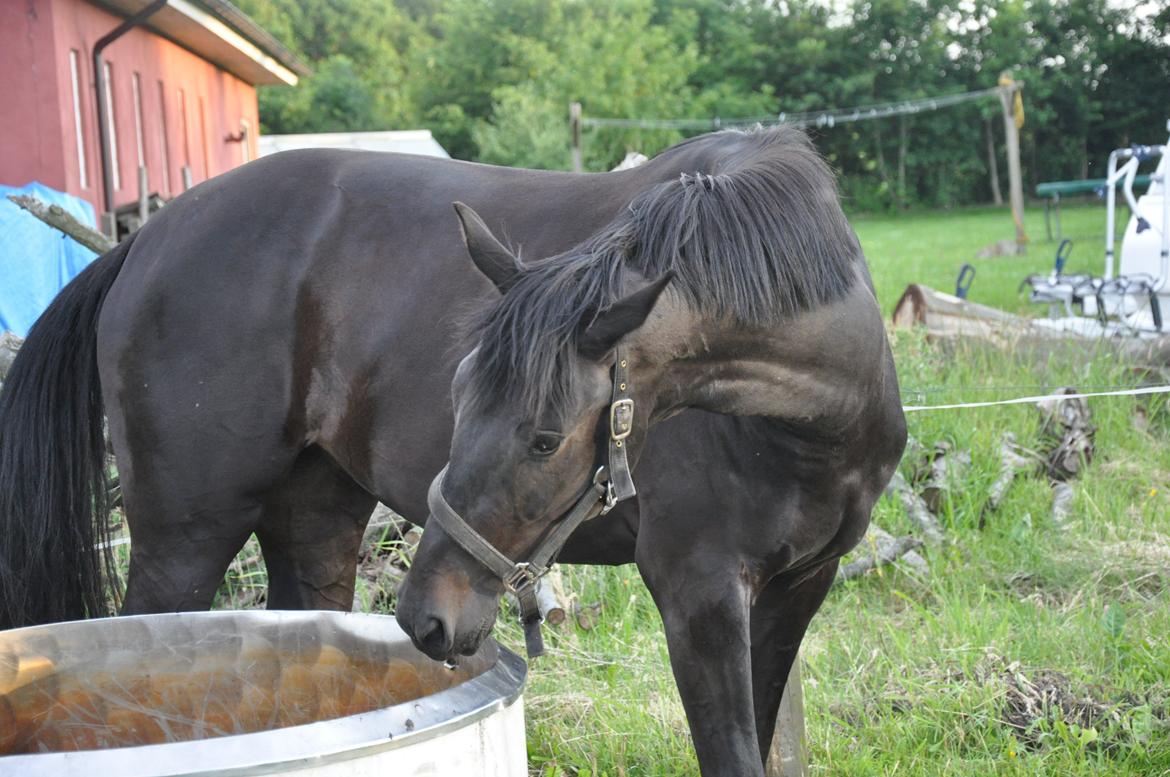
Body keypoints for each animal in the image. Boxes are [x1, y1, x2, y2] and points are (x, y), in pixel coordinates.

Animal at [0, 124, 903, 772]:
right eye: (458, 396)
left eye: (544, 437)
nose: (425, 618)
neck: (807, 420)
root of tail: (143, 241)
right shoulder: (699, 592)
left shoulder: (797, 587)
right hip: (183, 540)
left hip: (316, 516)